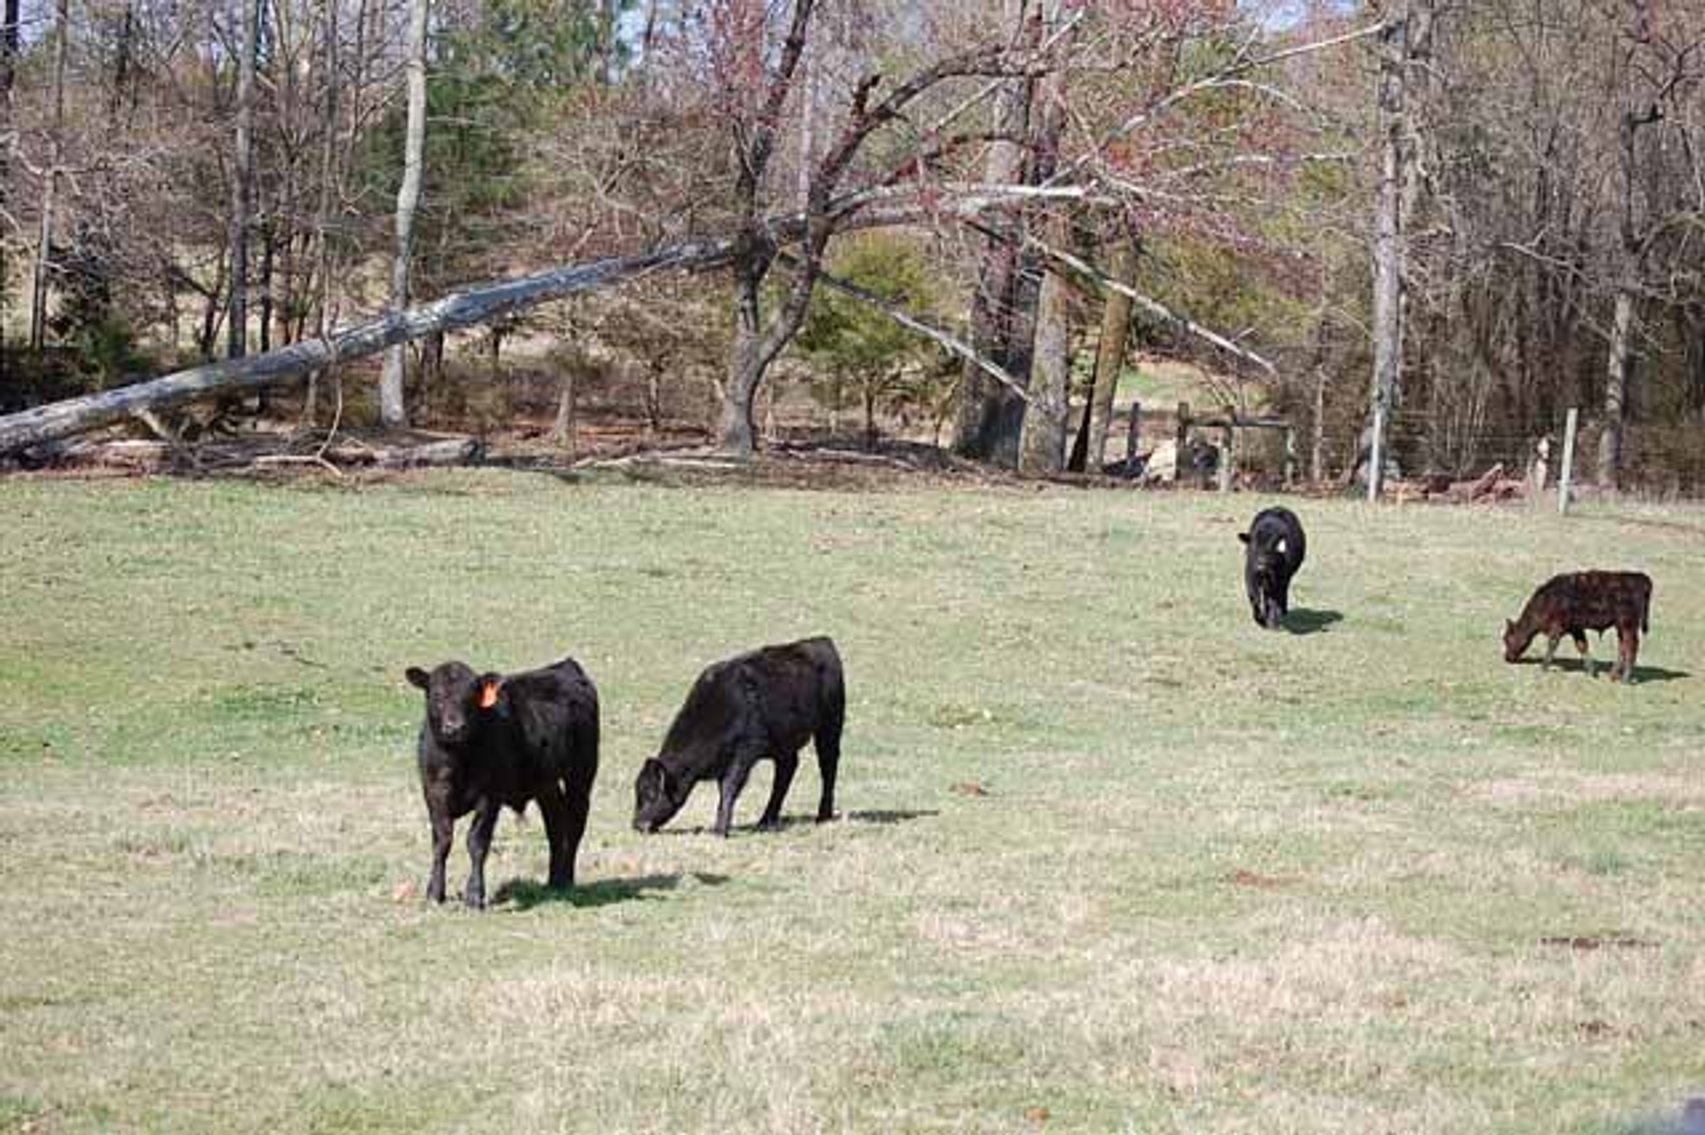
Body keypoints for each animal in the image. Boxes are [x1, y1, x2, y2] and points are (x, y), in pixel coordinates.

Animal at [404, 656, 599, 908]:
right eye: (436, 694)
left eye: (472, 696)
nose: (454, 727)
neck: (457, 760)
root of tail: (565, 665)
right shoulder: (433, 793)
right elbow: (442, 841)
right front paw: (435, 893)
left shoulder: (489, 797)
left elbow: (476, 842)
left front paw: (475, 895)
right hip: (546, 784)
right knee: (555, 825)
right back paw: (553, 881)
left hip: (582, 773)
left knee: (575, 823)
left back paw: (567, 879)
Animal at [633, 636, 844, 837]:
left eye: (650, 794)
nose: (637, 825)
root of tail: (820, 641)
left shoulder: (744, 753)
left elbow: (729, 788)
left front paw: (720, 830)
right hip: (784, 744)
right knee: (786, 770)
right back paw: (765, 820)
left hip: (830, 727)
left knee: (828, 766)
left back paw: (823, 816)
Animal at [1503, 571, 1653, 682]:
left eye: (1507, 638)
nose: (1507, 658)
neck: (1547, 600)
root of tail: (1641, 578)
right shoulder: (1576, 628)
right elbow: (1582, 646)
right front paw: (1591, 672)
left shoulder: (1557, 627)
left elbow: (1552, 645)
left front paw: (1543, 667)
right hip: (1621, 627)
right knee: (1622, 647)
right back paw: (1613, 675)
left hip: (1628, 625)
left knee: (1631, 647)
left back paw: (1625, 679)